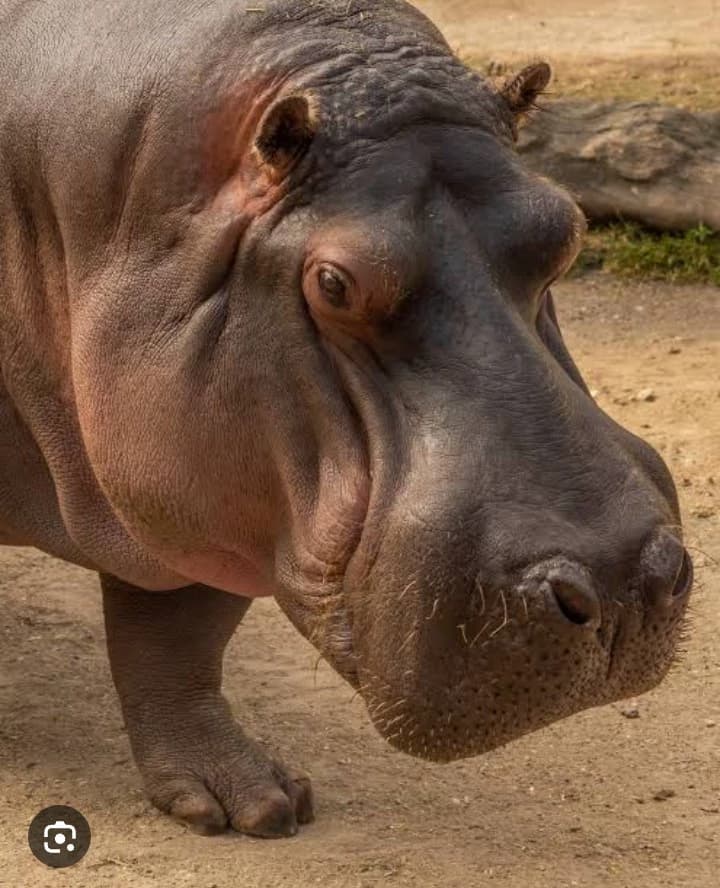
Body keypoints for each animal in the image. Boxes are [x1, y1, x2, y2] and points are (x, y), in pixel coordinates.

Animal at [0, 0, 692, 839]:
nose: (624, 585)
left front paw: (255, 804)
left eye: (567, 228)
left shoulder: (207, 480)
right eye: (334, 282)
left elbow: (178, 636)